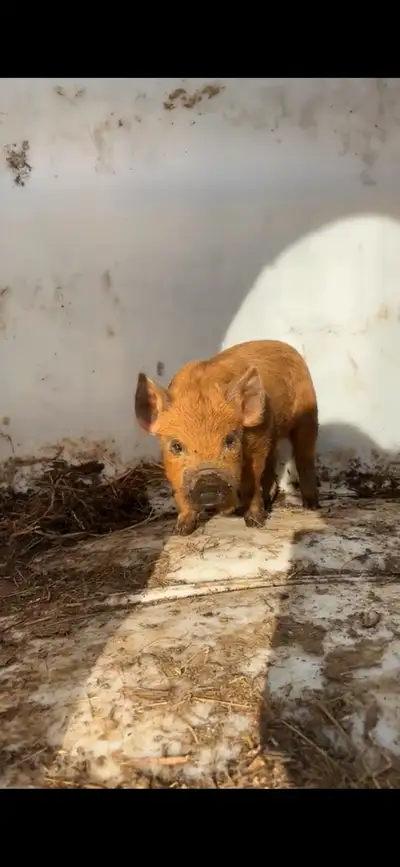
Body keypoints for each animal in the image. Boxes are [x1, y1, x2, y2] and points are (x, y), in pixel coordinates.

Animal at [135, 340, 319, 536]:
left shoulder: (257, 442)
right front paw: (180, 530)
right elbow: (179, 492)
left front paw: (255, 523)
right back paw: (269, 502)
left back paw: (311, 506)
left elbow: (251, 482)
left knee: (304, 457)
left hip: (308, 412)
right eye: (176, 446)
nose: (208, 486)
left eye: (230, 440)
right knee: (273, 459)